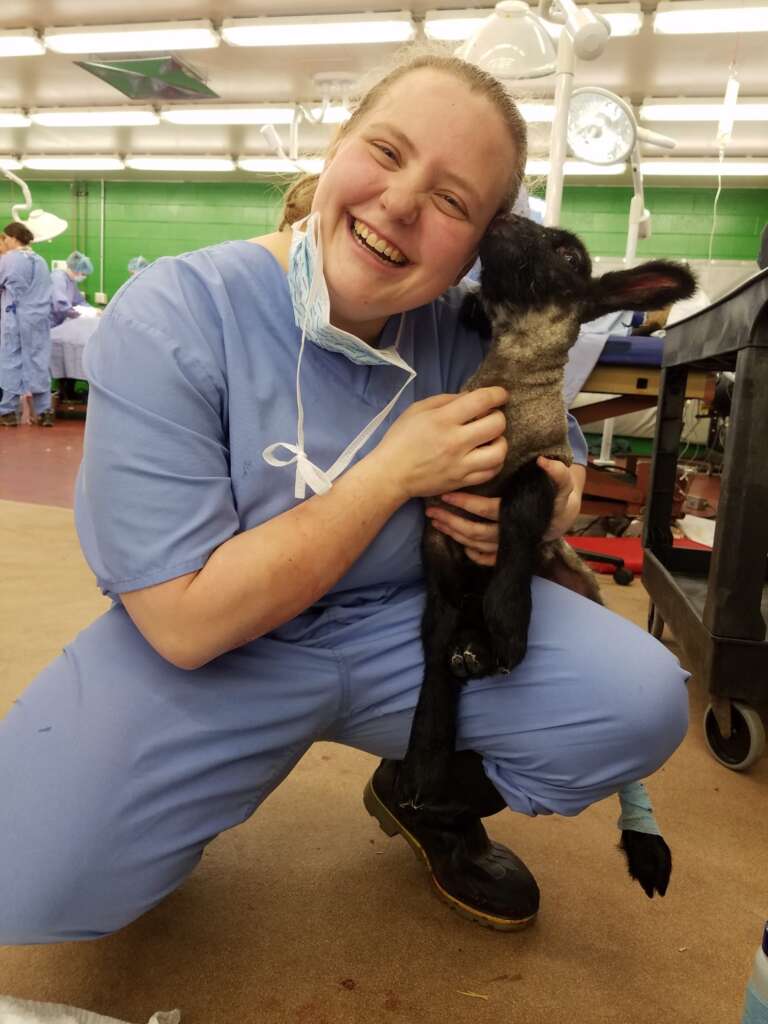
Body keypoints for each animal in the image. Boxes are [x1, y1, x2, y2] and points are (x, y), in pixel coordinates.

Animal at [393, 214, 700, 897]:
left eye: (568, 253)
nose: (505, 217)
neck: (511, 377)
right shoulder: (439, 541)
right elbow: (434, 658)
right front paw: (426, 753)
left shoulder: (547, 470)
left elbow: (523, 506)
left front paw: (510, 620)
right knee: (449, 648)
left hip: (579, 579)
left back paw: (647, 843)